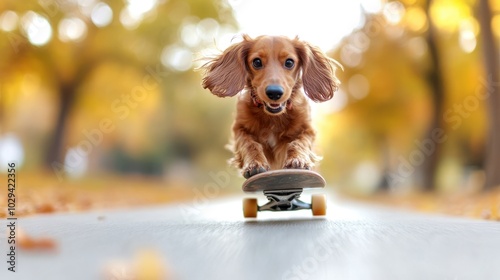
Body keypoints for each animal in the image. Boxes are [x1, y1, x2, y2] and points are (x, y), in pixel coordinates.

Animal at [202, 35, 340, 178]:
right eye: (257, 62)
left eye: (289, 62)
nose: (274, 92)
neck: (273, 117)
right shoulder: (239, 128)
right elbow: (249, 144)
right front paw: (255, 164)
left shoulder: (308, 129)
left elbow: (298, 142)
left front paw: (297, 160)